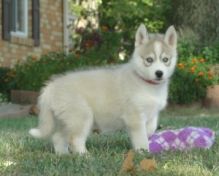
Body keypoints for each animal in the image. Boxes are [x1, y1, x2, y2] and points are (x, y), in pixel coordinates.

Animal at [29, 24, 177, 154]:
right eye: (149, 60)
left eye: (165, 59)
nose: (159, 73)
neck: (146, 83)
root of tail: (52, 85)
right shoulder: (134, 116)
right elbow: (141, 137)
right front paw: (143, 152)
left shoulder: (152, 114)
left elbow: (150, 130)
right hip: (82, 117)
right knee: (75, 139)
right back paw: (84, 156)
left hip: (68, 120)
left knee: (58, 137)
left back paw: (63, 155)